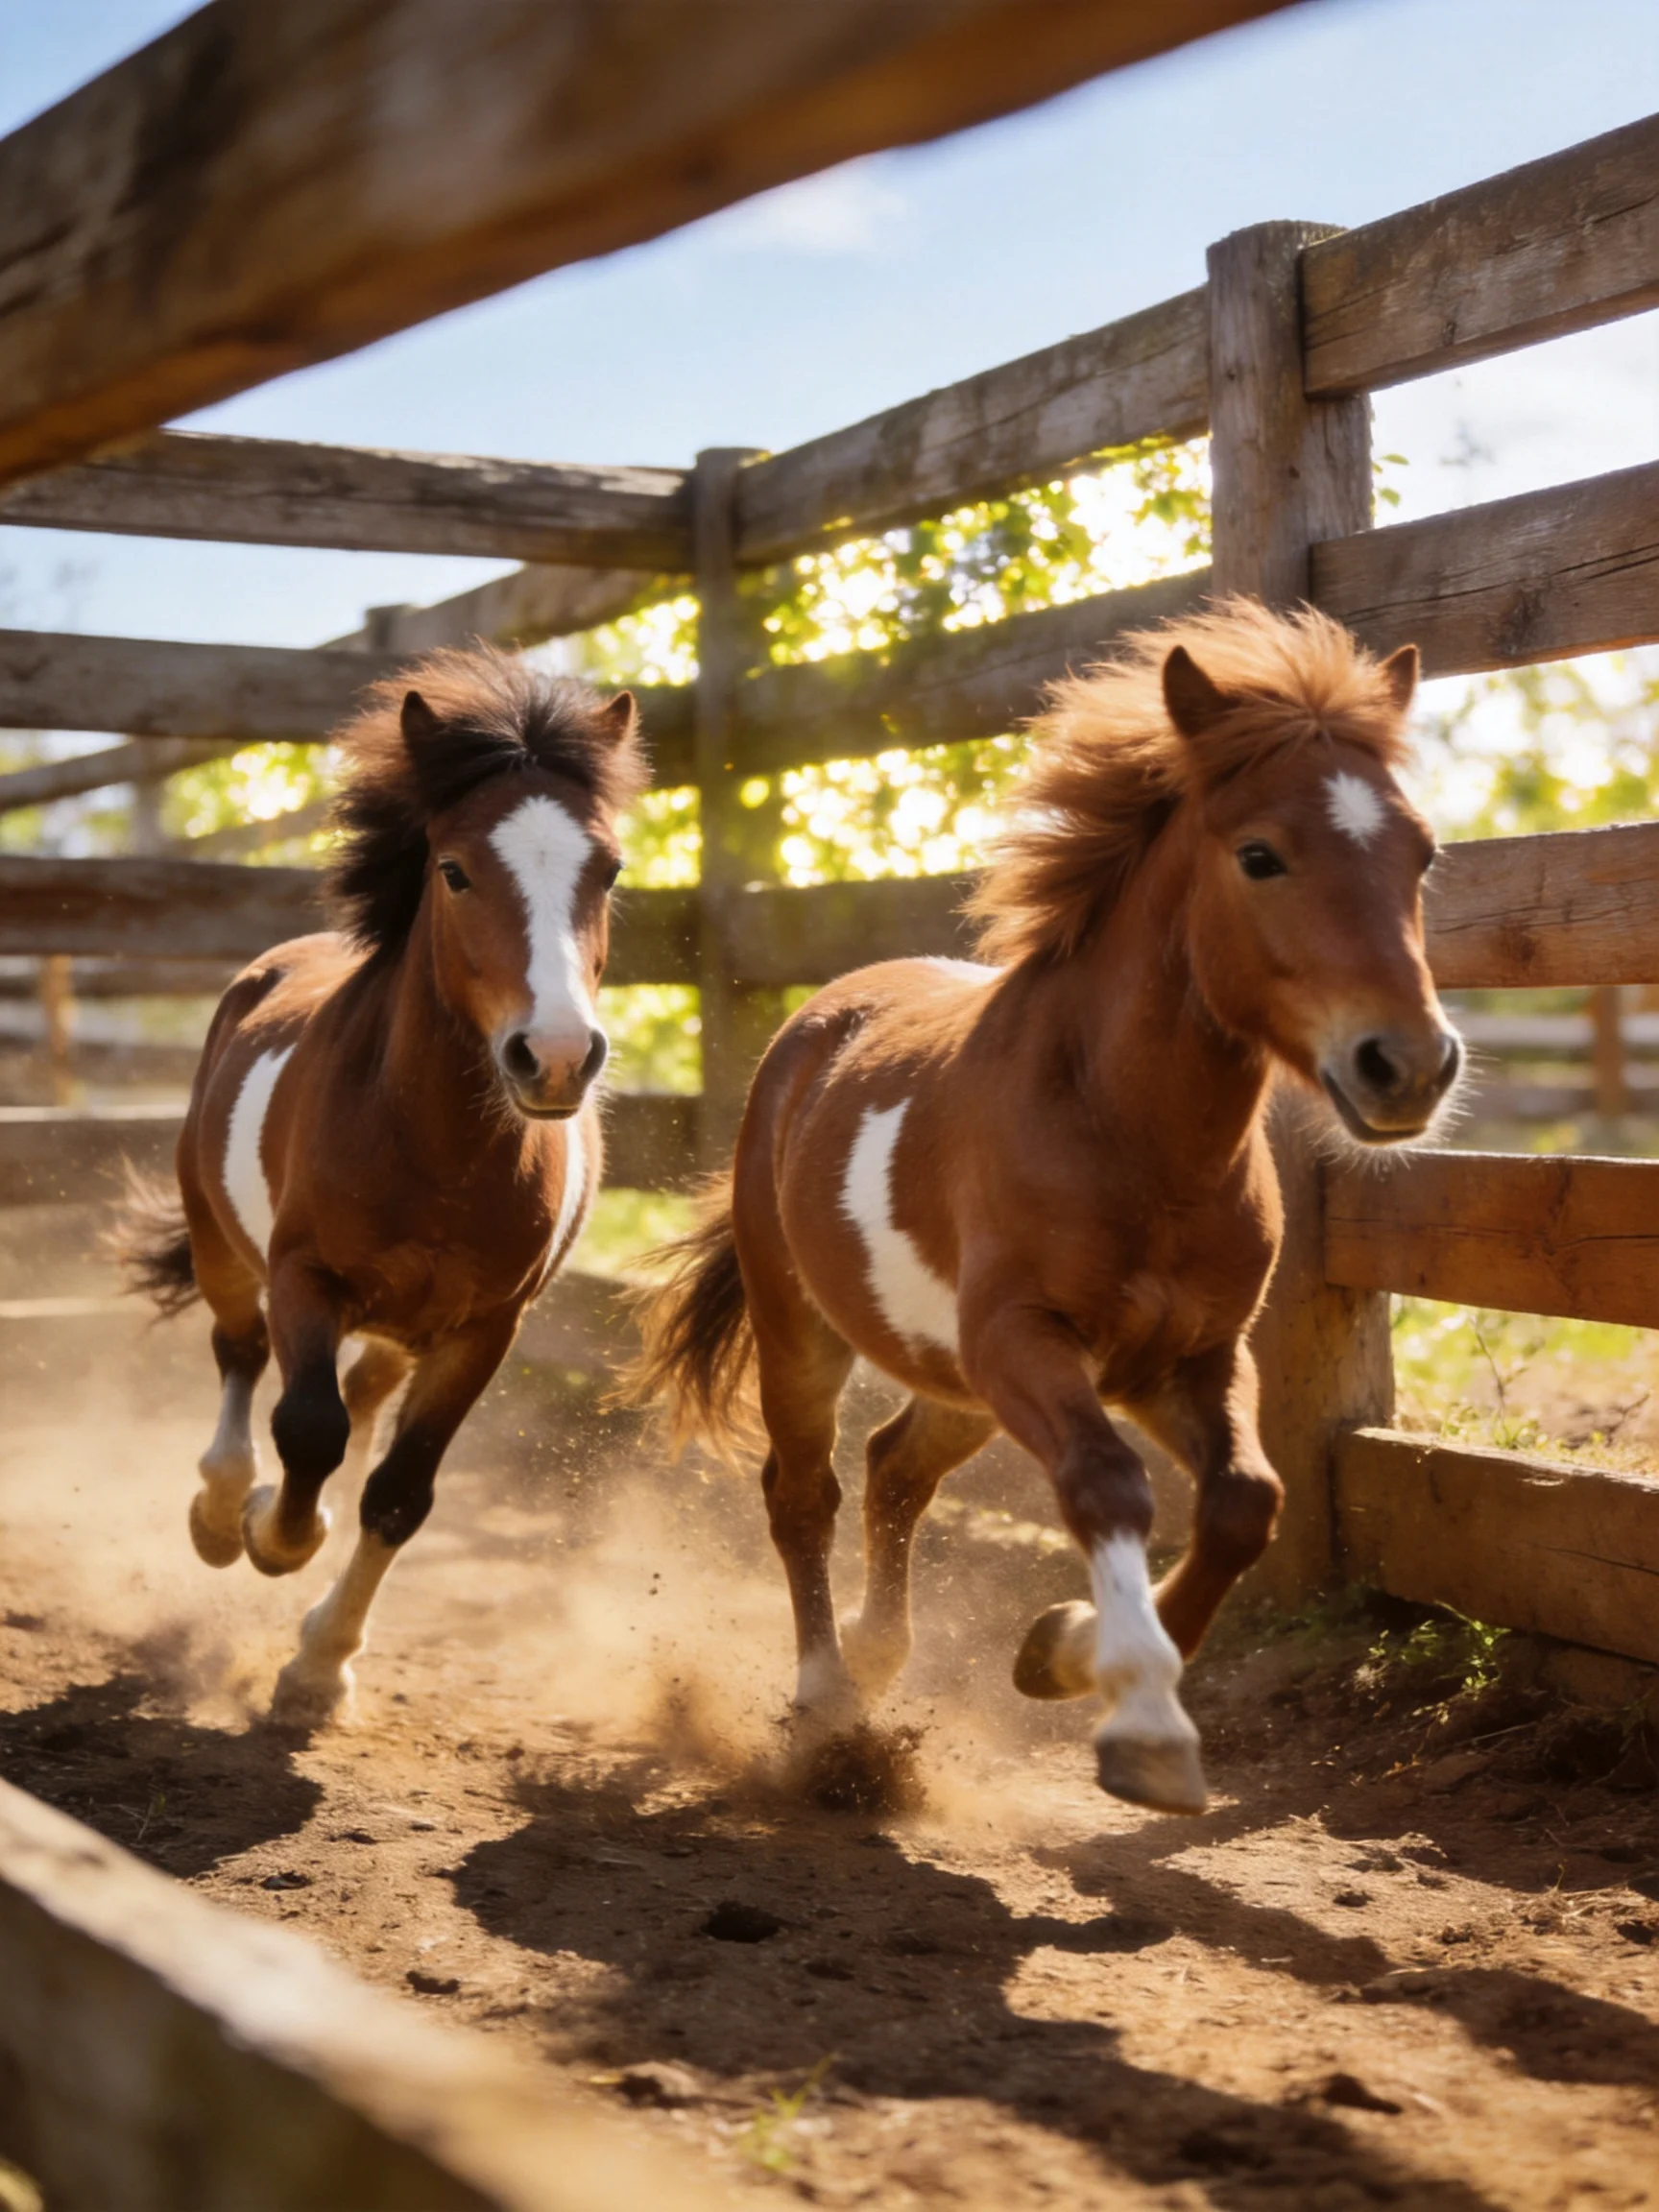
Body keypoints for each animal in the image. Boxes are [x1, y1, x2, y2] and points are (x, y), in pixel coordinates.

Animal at [118, 647, 647, 1724]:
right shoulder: (304, 1278)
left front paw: (321, 1667)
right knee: (242, 1357)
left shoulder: (487, 1326)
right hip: (219, 1239)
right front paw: (272, 1536)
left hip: (407, 1327)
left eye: (609, 868)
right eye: (454, 870)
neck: (435, 1155)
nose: (555, 1057)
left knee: (357, 1392)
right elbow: (306, 1427)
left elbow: (399, 1491)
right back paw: (222, 1509)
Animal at [629, 600, 1461, 1816]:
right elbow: (1106, 1484)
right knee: (804, 1491)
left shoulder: (1187, 1357)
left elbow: (1245, 1502)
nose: (1408, 1065)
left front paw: (1058, 1650)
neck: (1130, 1140)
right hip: (807, 1332)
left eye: (1422, 853)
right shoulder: (1025, 1338)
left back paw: (879, 1658)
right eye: (1260, 855)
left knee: (894, 1469)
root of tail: (813, 1025)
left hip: (953, 1377)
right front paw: (1144, 1722)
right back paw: (828, 1702)